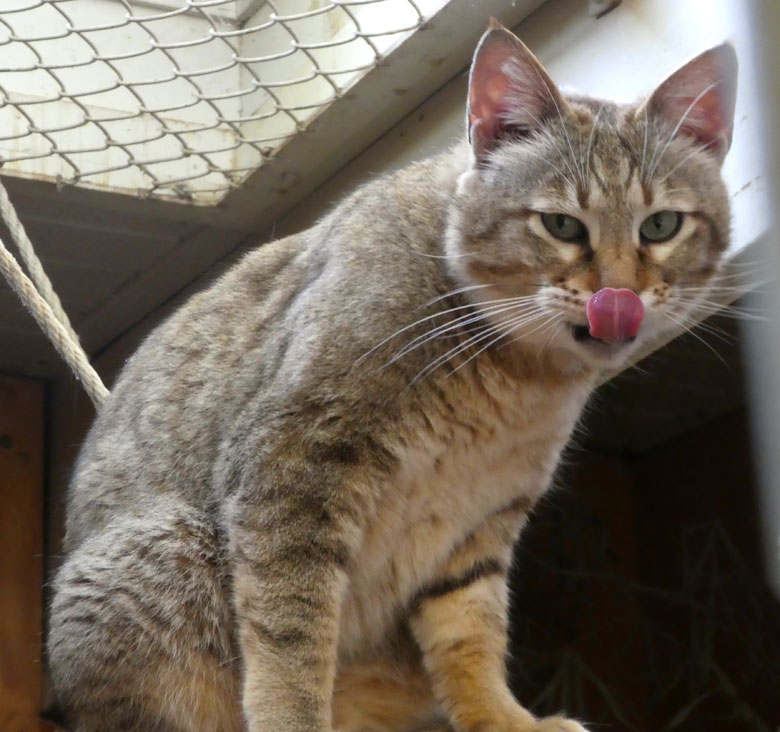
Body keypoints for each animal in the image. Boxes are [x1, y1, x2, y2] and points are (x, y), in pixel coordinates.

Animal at [47, 20, 736, 732]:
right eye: (562, 225)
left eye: (661, 225)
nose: (619, 297)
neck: (516, 378)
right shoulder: (291, 465)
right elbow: (290, 632)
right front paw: (294, 719)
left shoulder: (479, 522)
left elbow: (470, 635)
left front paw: (504, 718)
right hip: (159, 555)